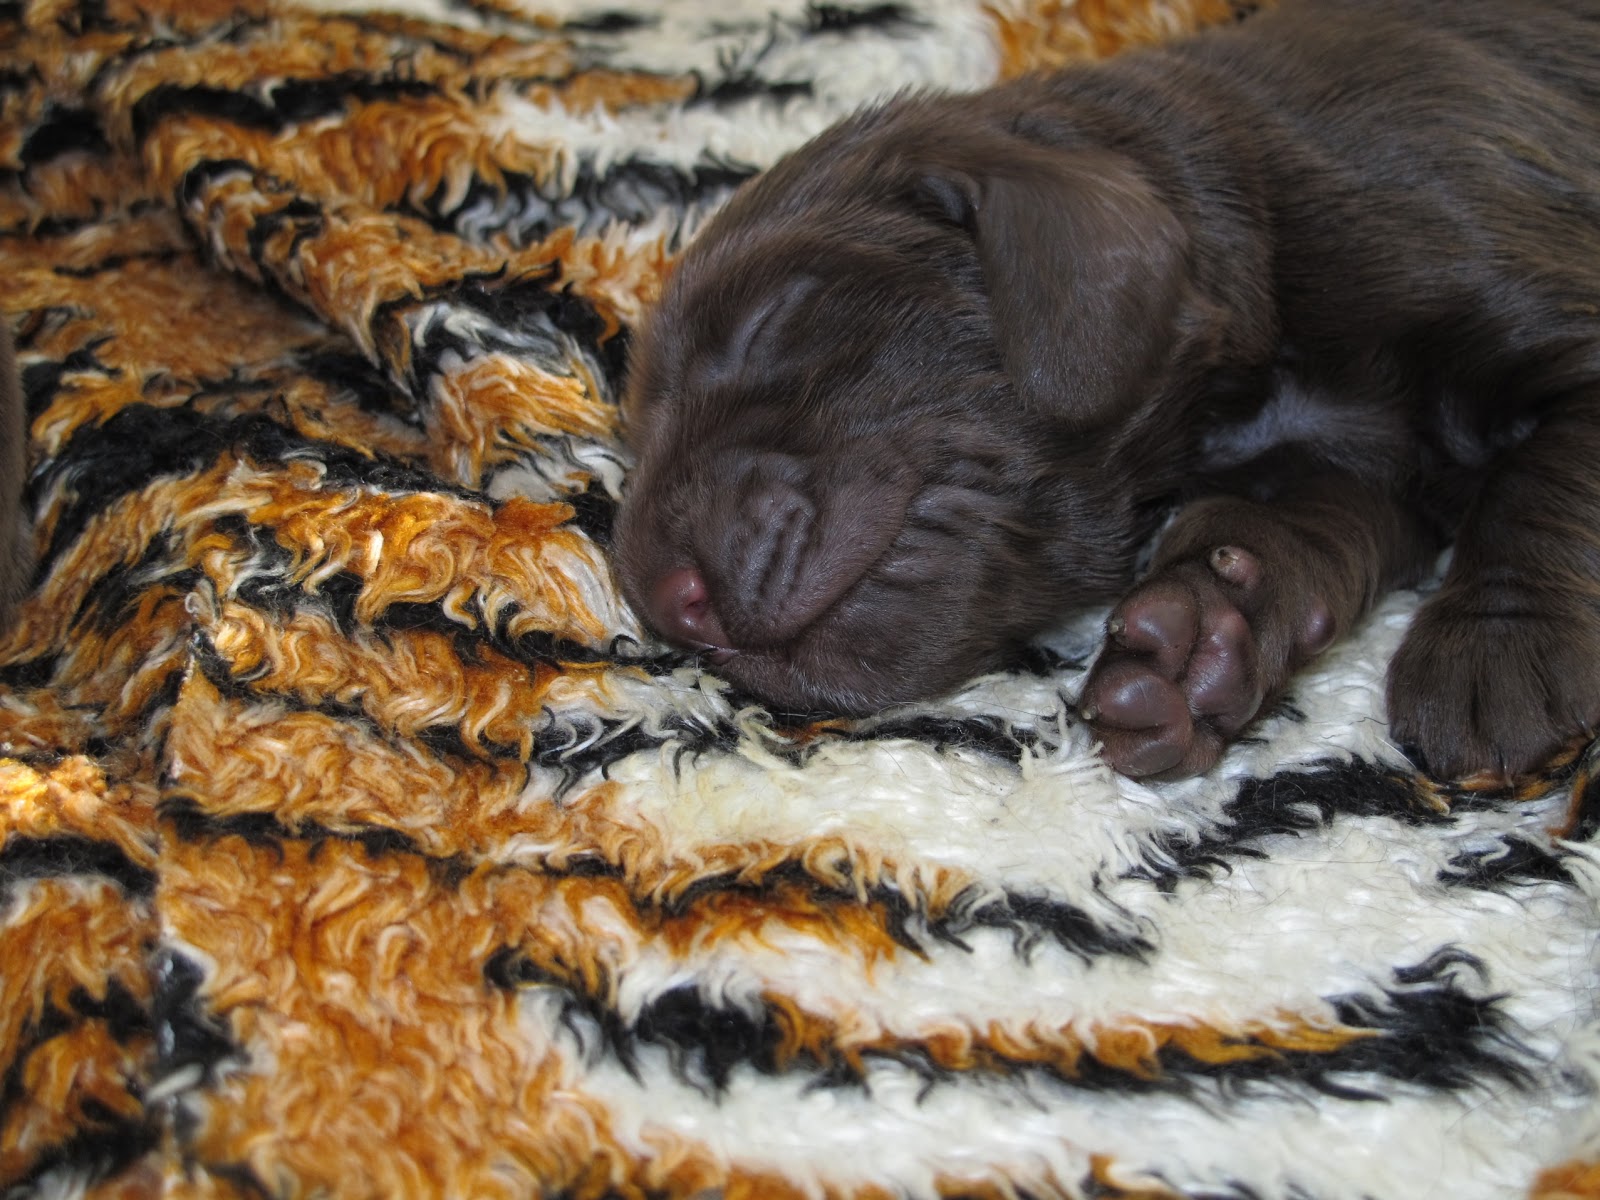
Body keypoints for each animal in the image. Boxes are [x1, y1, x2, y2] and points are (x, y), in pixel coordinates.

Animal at [613, 0, 1600, 782]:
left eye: (770, 322)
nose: (668, 606)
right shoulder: (1331, 478)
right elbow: (1281, 537)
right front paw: (1200, 641)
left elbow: (1545, 486)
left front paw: (1499, 645)